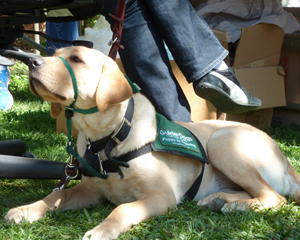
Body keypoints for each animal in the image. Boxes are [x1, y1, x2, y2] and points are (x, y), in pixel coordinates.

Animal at [5, 46, 300, 239]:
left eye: (76, 59)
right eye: (52, 54)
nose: (33, 63)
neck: (108, 140)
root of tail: (287, 163)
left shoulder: (162, 195)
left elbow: (122, 208)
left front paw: (101, 230)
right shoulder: (90, 190)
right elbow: (58, 194)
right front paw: (26, 210)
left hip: (223, 142)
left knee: (274, 197)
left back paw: (234, 205)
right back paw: (219, 199)